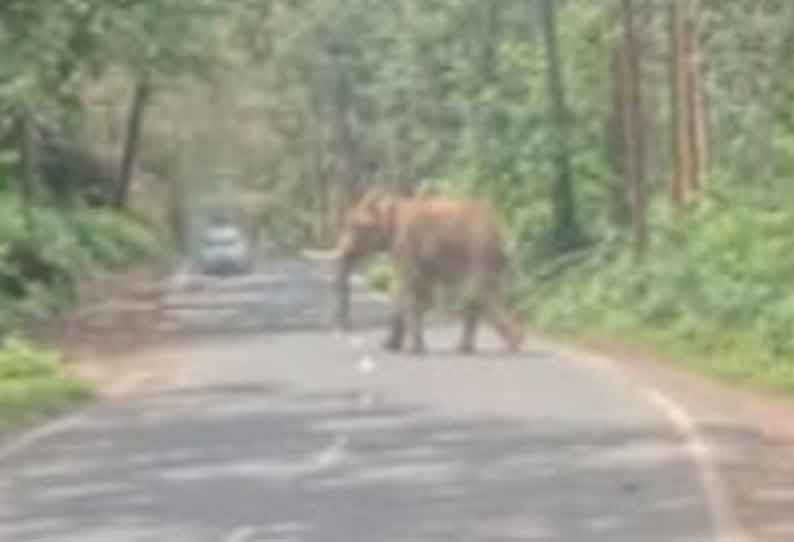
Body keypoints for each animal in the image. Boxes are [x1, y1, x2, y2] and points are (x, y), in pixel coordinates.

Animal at [324, 191, 524, 356]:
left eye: (355, 227)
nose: (345, 327)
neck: (394, 202)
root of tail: (502, 232)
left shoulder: (405, 244)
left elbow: (406, 288)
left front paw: (409, 350)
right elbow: (418, 290)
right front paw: (391, 347)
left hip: (479, 253)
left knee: (479, 295)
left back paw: (512, 345)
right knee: (480, 297)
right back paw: (472, 348)